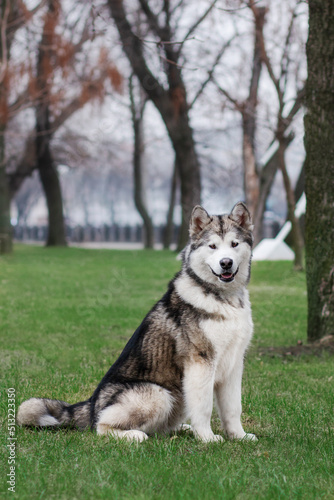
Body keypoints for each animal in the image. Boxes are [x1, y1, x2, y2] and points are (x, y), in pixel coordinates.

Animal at [17, 201, 258, 444]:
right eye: (212, 246)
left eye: (234, 244)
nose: (226, 263)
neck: (224, 299)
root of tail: (92, 403)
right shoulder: (201, 363)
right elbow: (204, 407)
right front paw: (207, 438)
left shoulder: (234, 364)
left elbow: (233, 408)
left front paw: (239, 436)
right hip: (159, 394)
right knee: (101, 426)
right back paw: (134, 435)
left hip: (177, 397)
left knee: (160, 427)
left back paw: (182, 428)